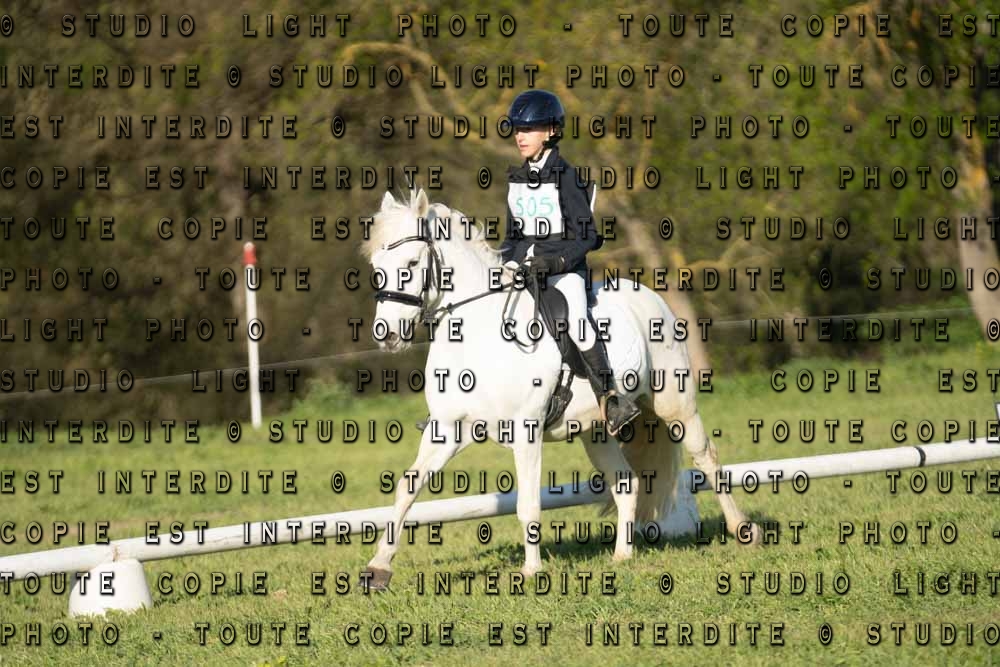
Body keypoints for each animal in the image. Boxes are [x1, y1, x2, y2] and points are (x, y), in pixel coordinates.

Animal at [358, 188, 760, 590]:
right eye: (377, 265)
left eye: (412, 262)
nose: (387, 336)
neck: (476, 336)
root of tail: (647, 293)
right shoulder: (446, 430)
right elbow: (407, 488)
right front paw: (378, 569)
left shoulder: (525, 431)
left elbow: (528, 503)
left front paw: (531, 571)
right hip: (597, 430)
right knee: (626, 481)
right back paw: (622, 555)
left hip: (675, 405)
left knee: (706, 457)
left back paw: (743, 531)